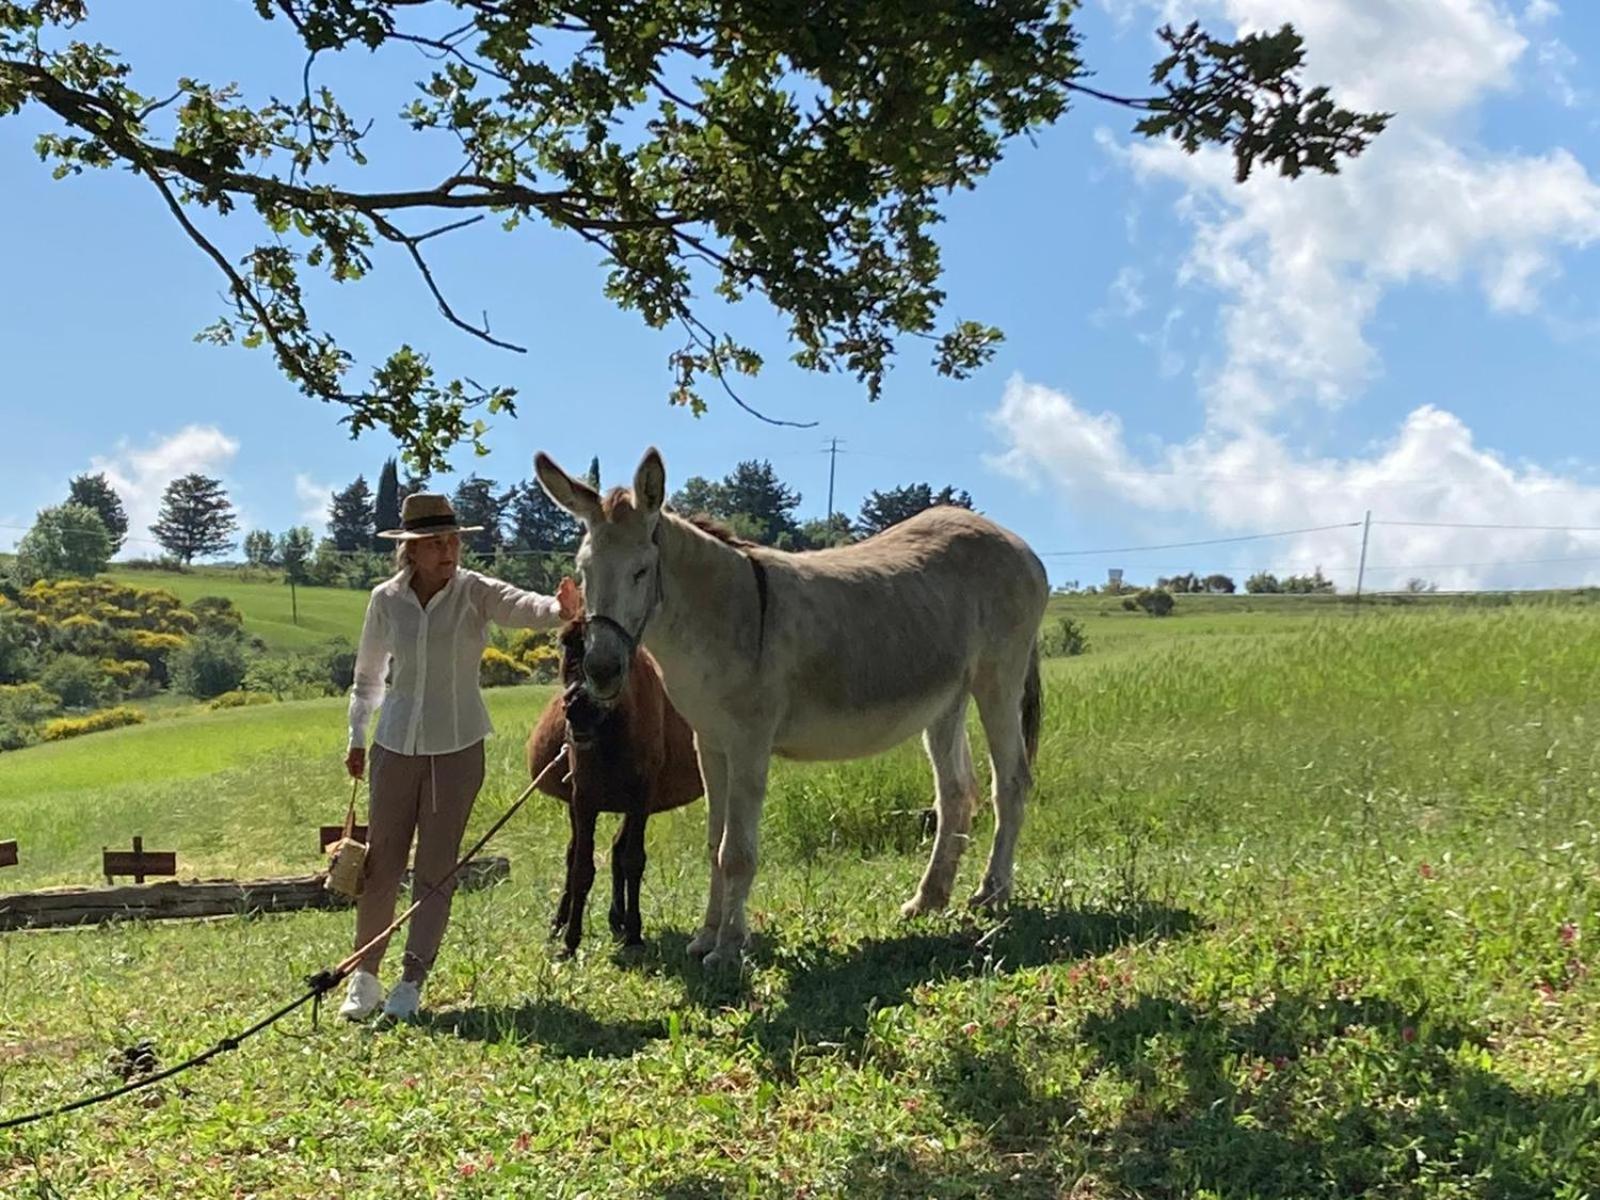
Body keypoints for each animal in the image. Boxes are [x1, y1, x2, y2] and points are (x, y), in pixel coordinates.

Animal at [528, 579, 704, 953]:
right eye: (566, 642)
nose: (580, 708)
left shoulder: (640, 796)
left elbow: (632, 859)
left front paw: (634, 932)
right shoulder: (583, 798)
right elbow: (581, 866)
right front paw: (571, 939)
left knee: (619, 850)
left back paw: (619, 920)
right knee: (576, 854)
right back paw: (562, 922)